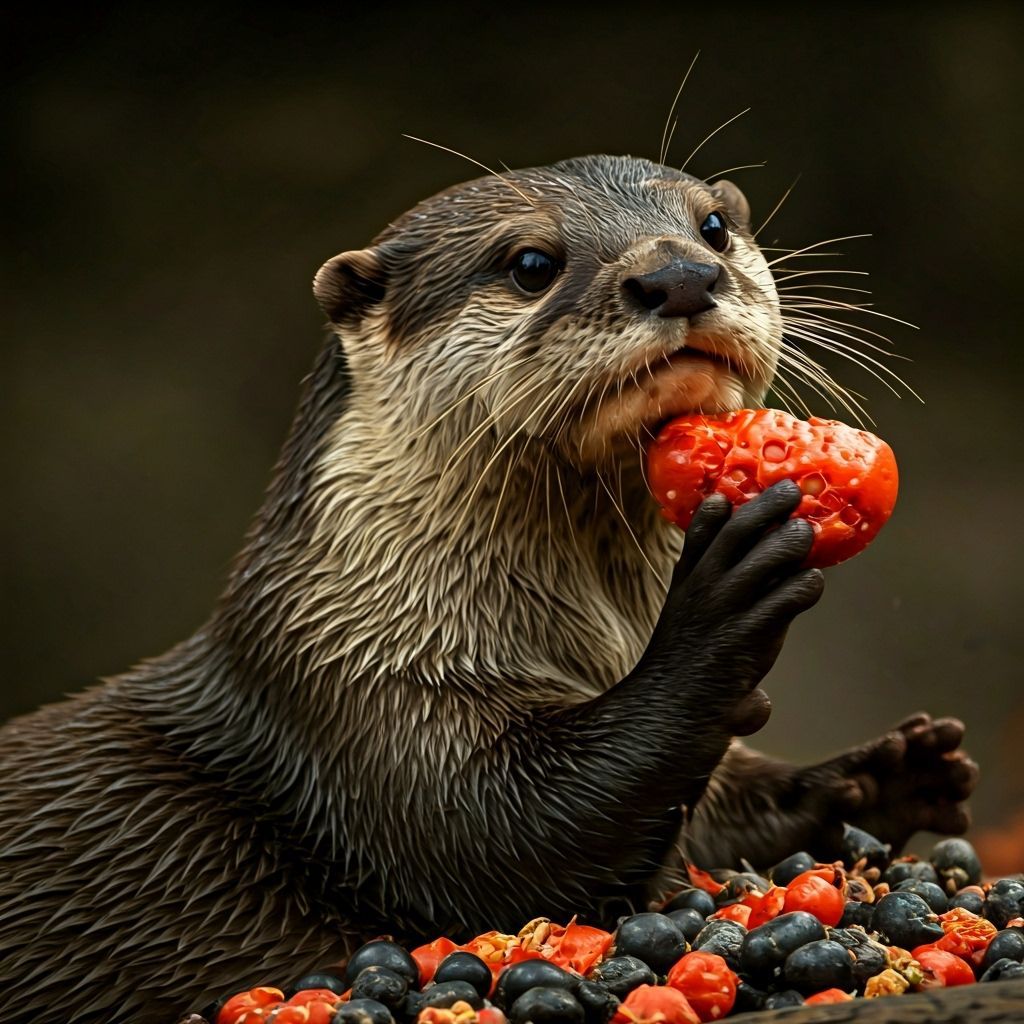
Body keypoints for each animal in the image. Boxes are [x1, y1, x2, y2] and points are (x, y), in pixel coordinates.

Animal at [0, 155, 977, 1022]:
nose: (680, 276)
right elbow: (506, 836)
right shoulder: (358, 693)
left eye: (712, 226)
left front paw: (893, 774)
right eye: (531, 264)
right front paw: (720, 603)